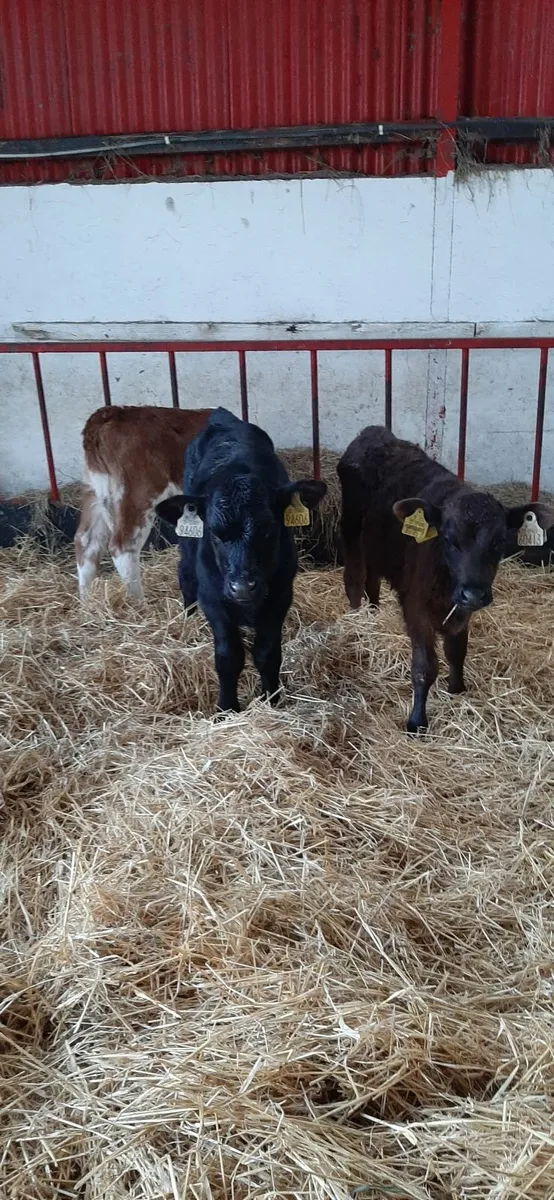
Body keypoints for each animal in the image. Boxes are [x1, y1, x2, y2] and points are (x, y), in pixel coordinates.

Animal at [75, 405, 212, 600]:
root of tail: (108, 413)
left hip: (93, 492)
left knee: (86, 543)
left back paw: (87, 604)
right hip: (138, 493)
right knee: (123, 546)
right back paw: (138, 603)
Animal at [156, 407, 327, 713]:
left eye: (269, 529)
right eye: (215, 532)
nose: (243, 587)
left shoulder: (280, 594)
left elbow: (267, 652)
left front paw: (272, 699)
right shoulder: (213, 597)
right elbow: (228, 657)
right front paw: (226, 708)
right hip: (188, 547)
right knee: (185, 573)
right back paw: (188, 617)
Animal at [337, 425, 551, 733]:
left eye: (499, 541)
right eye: (449, 539)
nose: (474, 593)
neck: (446, 579)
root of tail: (375, 432)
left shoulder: (461, 609)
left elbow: (456, 650)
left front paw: (457, 688)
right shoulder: (416, 608)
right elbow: (425, 666)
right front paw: (417, 720)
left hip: (377, 549)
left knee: (373, 582)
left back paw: (374, 615)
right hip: (352, 532)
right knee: (354, 579)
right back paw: (357, 622)